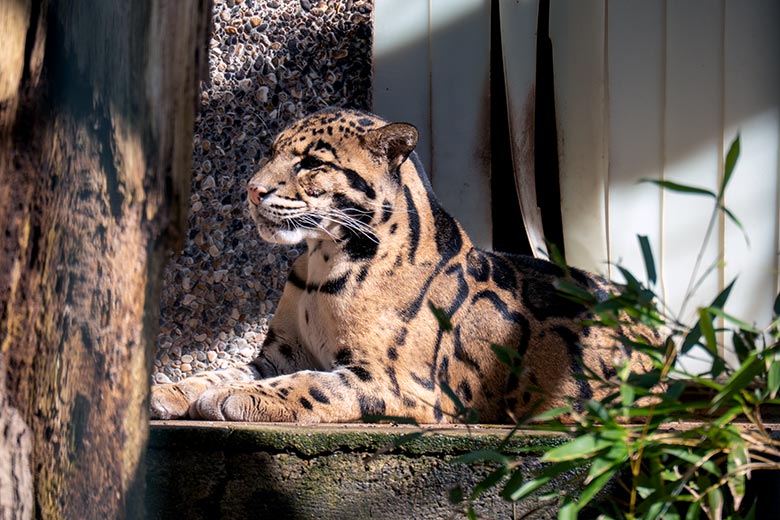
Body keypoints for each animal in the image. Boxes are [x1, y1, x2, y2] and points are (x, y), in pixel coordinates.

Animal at [149, 108, 656, 422]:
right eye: (270, 152)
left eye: (311, 163)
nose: (252, 191)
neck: (321, 261)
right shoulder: (277, 353)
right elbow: (223, 370)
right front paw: (169, 390)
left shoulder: (401, 382)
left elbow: (312, 384)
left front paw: (239, 397)